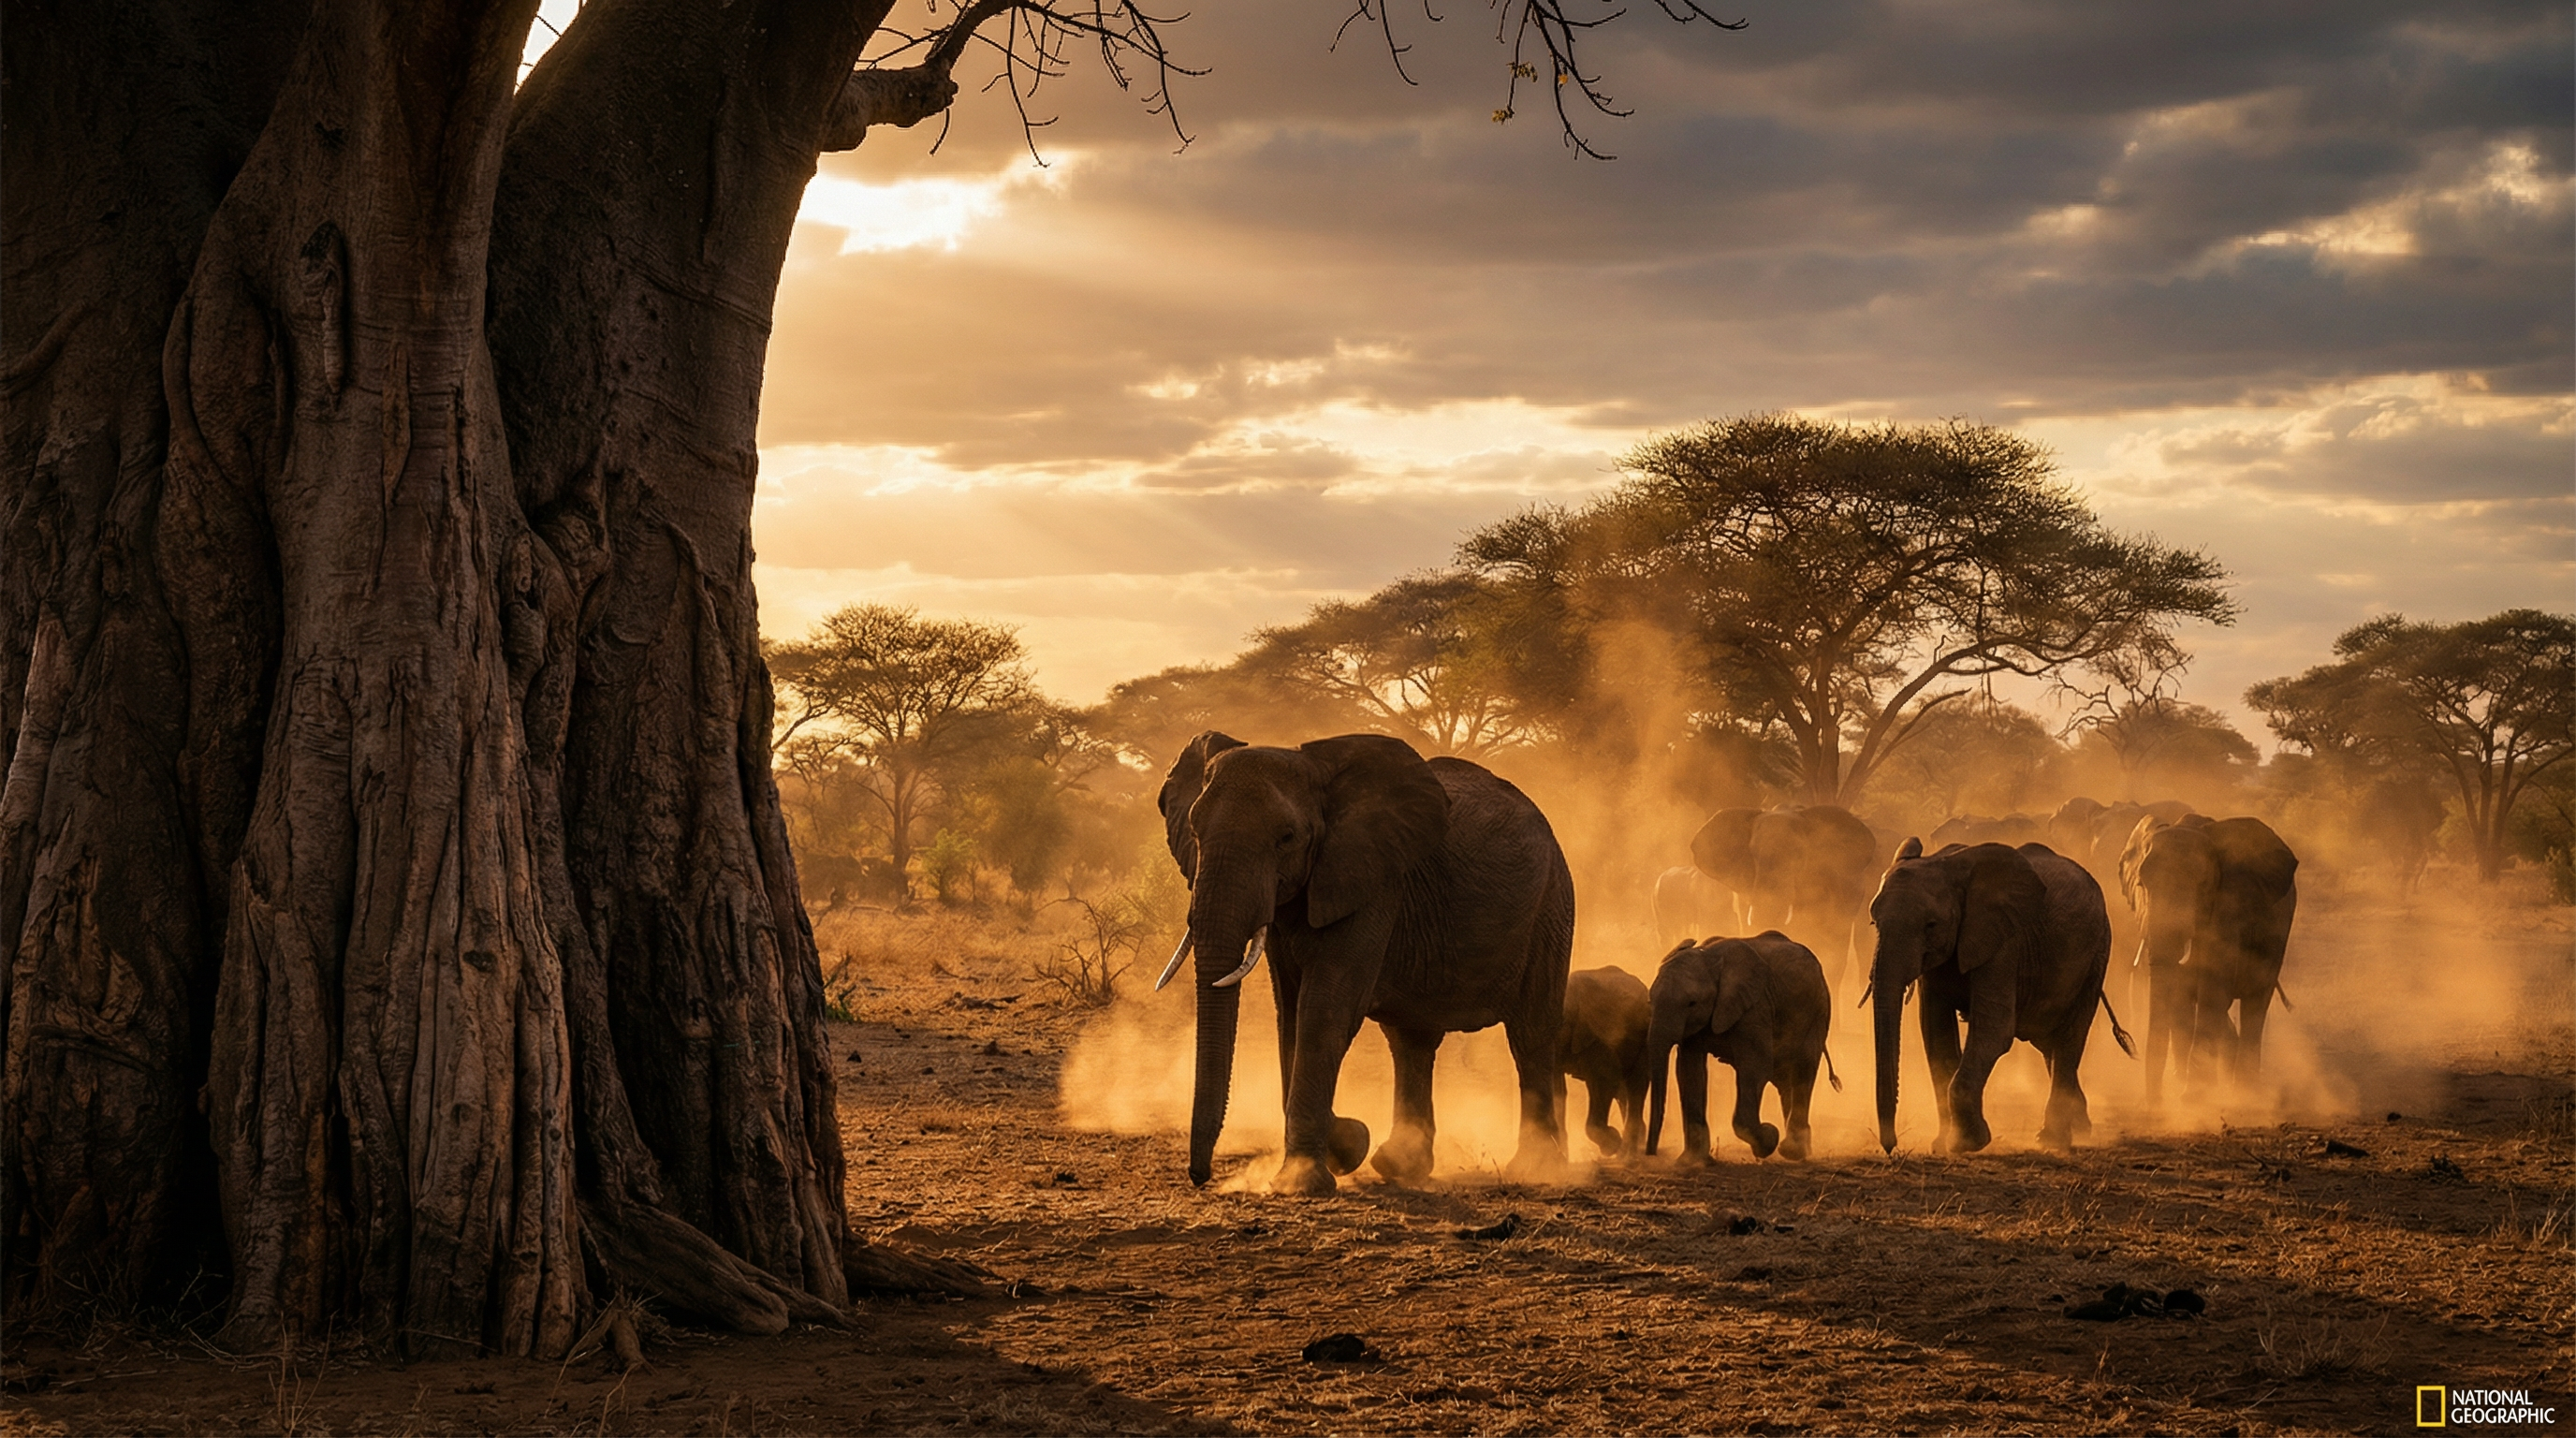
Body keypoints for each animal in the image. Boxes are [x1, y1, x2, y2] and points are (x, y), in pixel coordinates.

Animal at [1157, 730, 1576, 1194]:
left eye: (1287, 837)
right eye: (1194, 831)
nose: (1199, 1177)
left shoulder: (1373, 884)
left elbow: (1325, 1010)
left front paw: (1303, 1181)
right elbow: (1290, 1013)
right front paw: (1348, 1144)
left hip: (1552, 906)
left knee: (1530, 1035)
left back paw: (1536, 1168)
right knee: (1411, 1041)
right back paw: (1399, 1165)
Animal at [1556, 967, 1652, 1158]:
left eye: (1561, 1021)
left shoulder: (1597, 1035)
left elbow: (1604, 1081)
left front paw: (1611, 1146)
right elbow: (1557, 1090)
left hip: (1643, 1038)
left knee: (1636, 1084)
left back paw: (1628, 1155)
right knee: (1623, 1090)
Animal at [1643, 932, 1839, 1163]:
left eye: (1692, 1003)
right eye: (1650, 1000)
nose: (1650, 1154)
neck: (1708, 958)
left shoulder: (1756, 1007)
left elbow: (1754, 1068)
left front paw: (1769, 1137)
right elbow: (1689, 1072)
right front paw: (1692, 1162)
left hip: (1818, 1010)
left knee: (1803, 1069)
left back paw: (1792, 1151)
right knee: (1785, 1079)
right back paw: (1801, 1149)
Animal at [1867, 839, 2119, 1153]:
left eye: (1931, 925)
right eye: (1874, 923)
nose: (1891, 1148)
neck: (1948, 865)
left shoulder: (2005, 944)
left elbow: (1994, 1031)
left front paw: (1967, 1143)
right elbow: (1936, 1034)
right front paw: (1942, 1145)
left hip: (2097, 953)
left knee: (2069, 1038)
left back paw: (2053, 1139)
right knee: (2049, 1044)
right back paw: (2080, 1128)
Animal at [2118, 814, 2297, 1105]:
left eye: (2203, 886)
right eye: (2142, 885)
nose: (2154, 1103)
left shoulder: (2228, 907)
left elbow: (2213, 987)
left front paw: (2193, 1096)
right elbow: (2182, 991)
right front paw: (2188, 1089)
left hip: (2278, 935)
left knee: (2255, 1002)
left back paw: (2247, 1093)